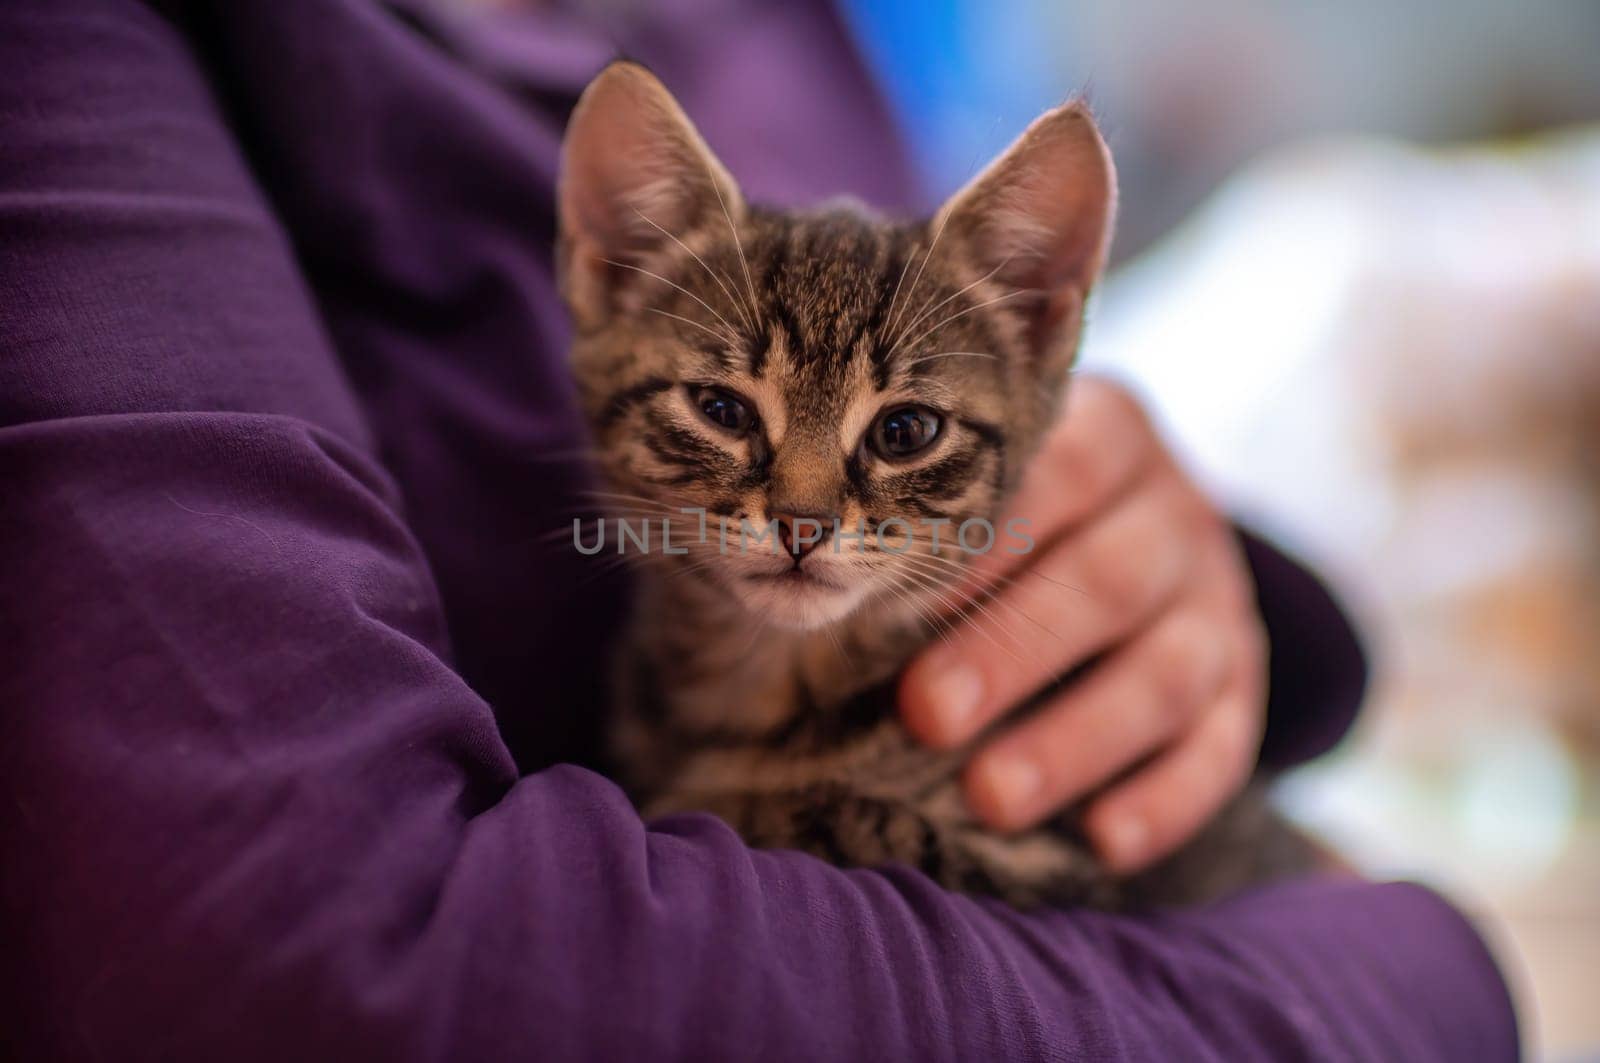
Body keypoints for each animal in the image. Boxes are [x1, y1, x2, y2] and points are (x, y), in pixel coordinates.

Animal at [556, 60, 1305, 902]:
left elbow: (839, 817)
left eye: (905, 431)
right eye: (722, 410)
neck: (761, 680)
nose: (802, 524)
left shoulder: (1072, 867)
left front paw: (712, 797)